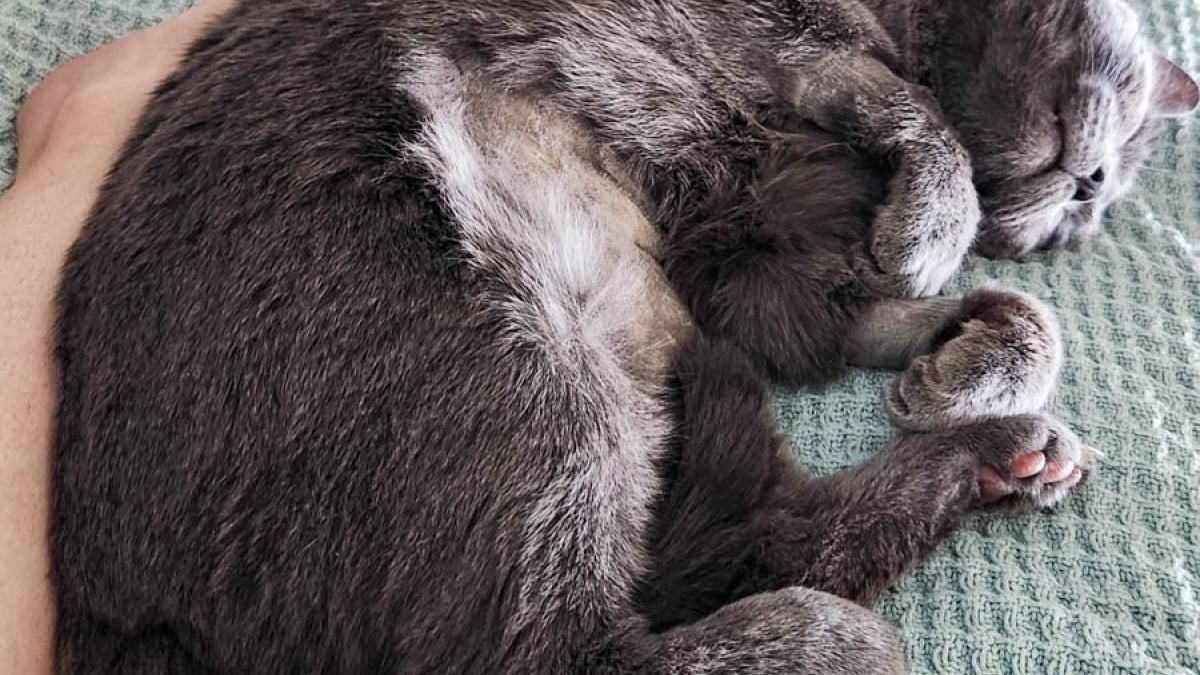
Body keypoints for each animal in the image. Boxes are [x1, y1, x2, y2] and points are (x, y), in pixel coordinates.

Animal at [46, 1, 1190, 672]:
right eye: (1132, 103)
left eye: (1101, 205)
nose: (1089, 191)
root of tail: (108, 617)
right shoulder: (763, 49)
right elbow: (910, 106)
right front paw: (940, 228)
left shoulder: (744, 260)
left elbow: (944, 310)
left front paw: (966, 354)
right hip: (516, 368)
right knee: (552, 652)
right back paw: (845, 636)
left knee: (741, 543)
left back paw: (994, 457)